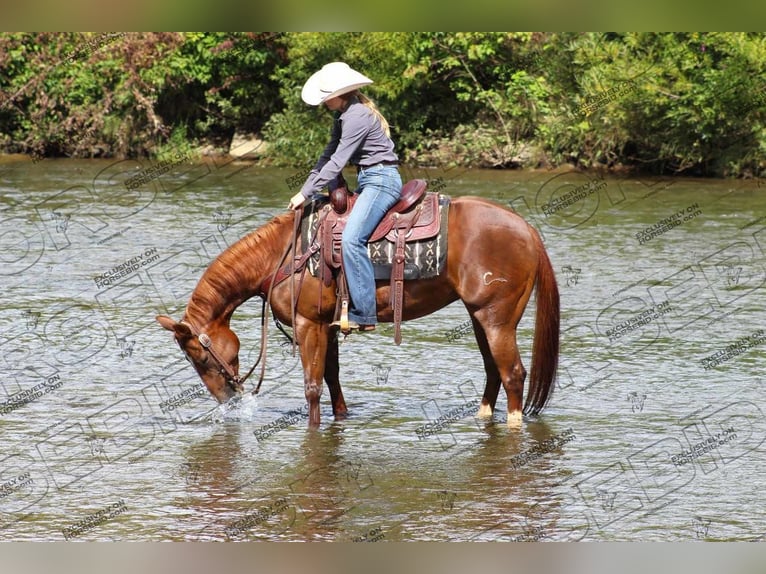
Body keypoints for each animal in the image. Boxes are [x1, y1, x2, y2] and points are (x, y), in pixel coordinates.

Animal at [159, 197, 560, 428]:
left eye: (199, 358)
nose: (228, 402)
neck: (283, 255)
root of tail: (529, 230)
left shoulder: (308, 324)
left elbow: (312, 387)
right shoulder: (327, 325)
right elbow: (332, 378)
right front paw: (341, 417)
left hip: (497, 319)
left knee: (513, 374)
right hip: (479, 317)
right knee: (493, 371)